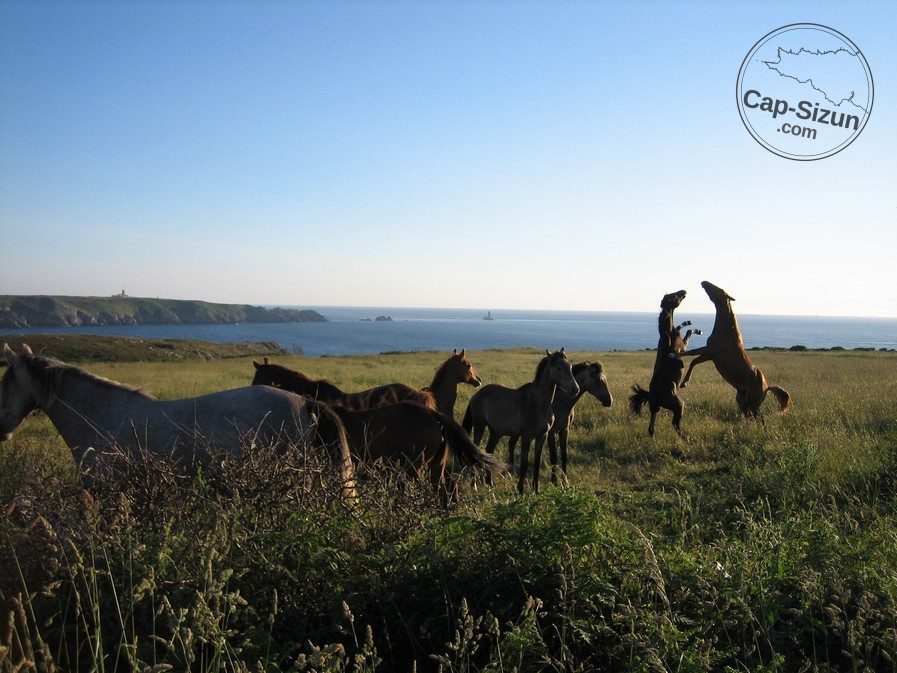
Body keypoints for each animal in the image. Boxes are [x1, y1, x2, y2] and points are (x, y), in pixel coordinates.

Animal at [462, 349, 579, 493]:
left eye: (570, 366)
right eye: (558, 367)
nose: (575, 388)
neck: (538, 403)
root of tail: (476, 395)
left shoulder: (542, 436)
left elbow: (537, 462)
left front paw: (536, 489)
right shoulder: (526, 437)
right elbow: (524, 463)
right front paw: (521, 489)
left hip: (496, 432)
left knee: (489, 451)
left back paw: (489, 482)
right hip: (480, 427)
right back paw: (474, 484)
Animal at [629, 290, 702, 438]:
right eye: (674, 296)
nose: (683, 291)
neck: (667, 332)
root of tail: (653, 395)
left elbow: (682, 327)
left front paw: (687, 322)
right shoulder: (682, 347)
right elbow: (688, 332)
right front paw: (696, 329)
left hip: (654, 408)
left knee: (651, 426)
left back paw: (653, 436)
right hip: (678, 405)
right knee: (675, 423)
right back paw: (687, 438)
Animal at [675, 281, 792, 419]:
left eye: (719, 290)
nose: (704, 282)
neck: (727, 332)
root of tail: (767, 387)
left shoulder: (710, 352)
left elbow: (692, 358)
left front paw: (683, 381)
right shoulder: (709, 353)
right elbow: (692, 357)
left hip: (753, 403)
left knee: (759, 418)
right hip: (742, 400)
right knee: (750, 416)